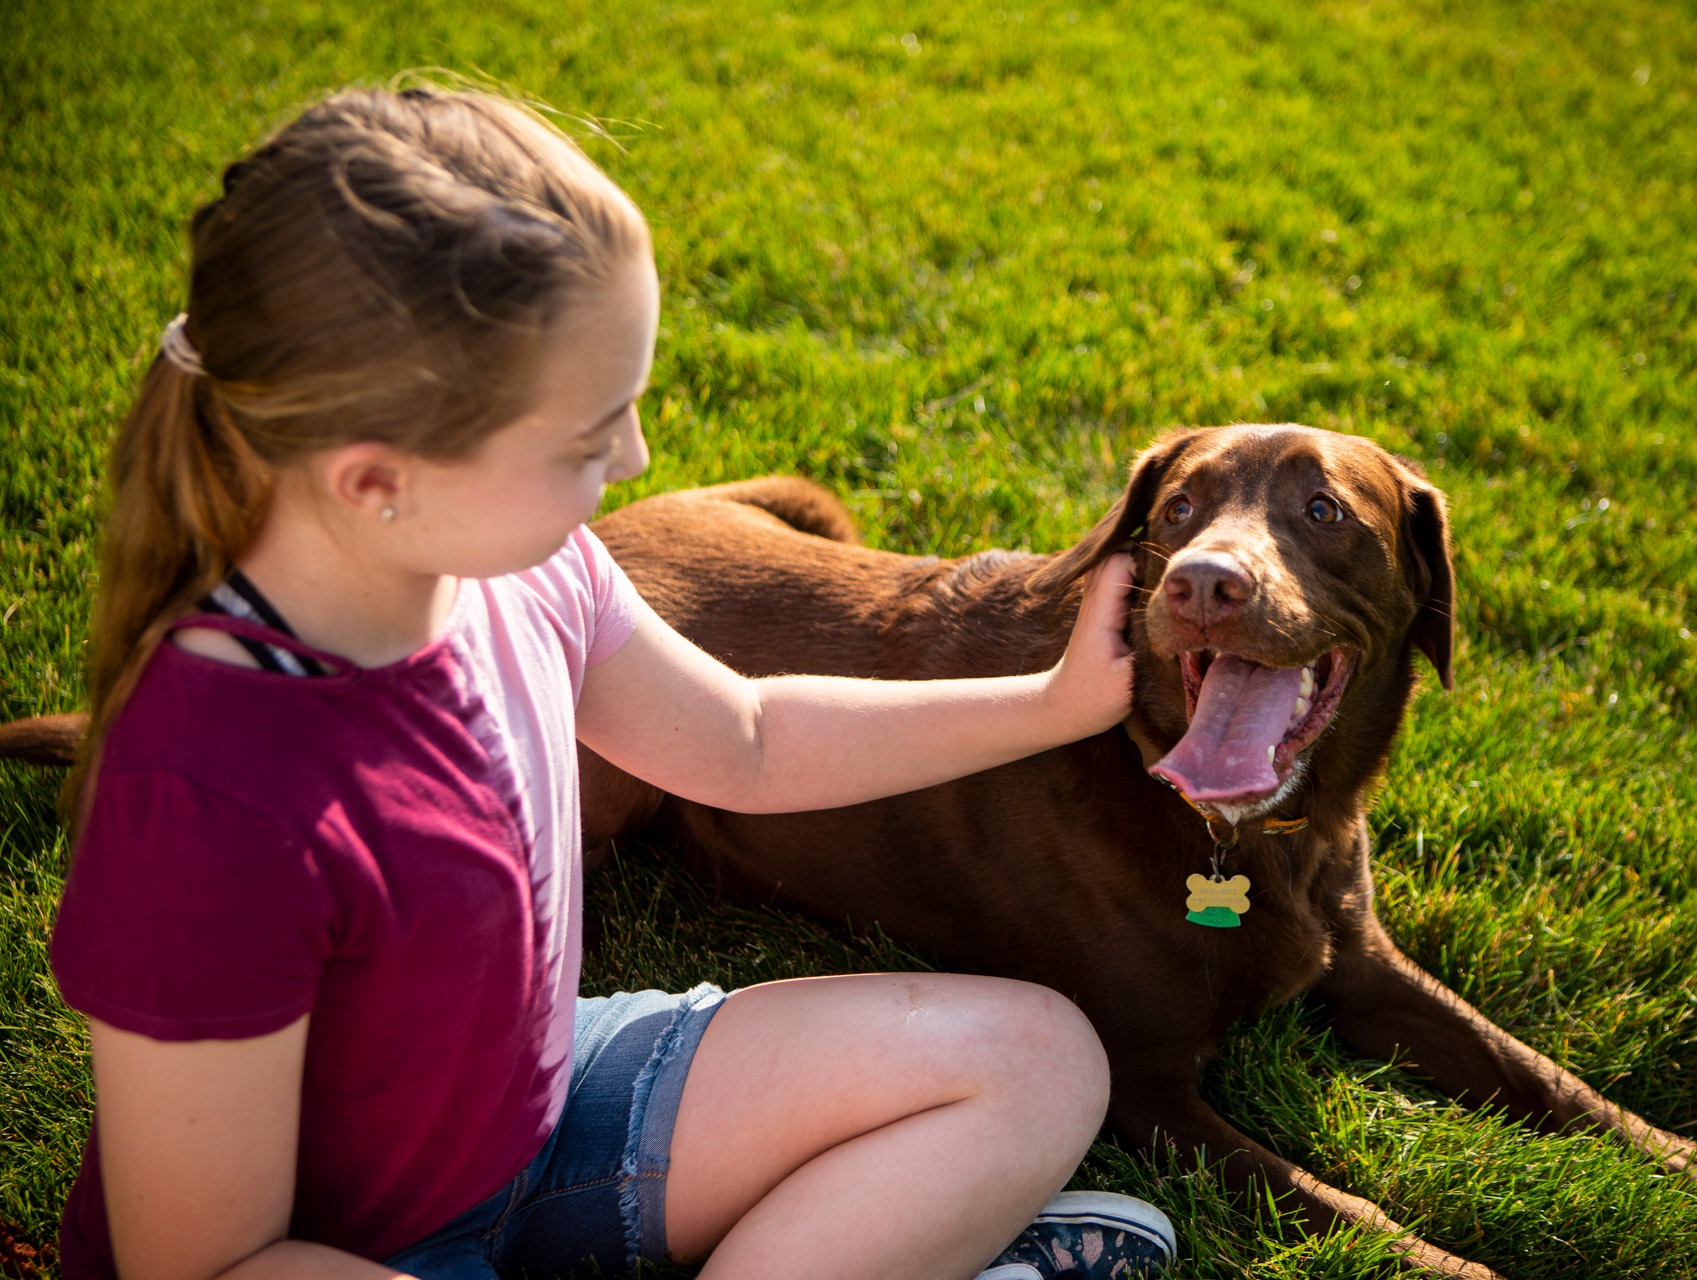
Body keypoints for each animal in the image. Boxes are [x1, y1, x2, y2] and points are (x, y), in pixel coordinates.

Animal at [576, 426, 1690, 1276]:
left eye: (1323, 511)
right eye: (1176, 511)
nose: (1203, 583)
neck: (1250, 837)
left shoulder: (1361, 962)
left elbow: (1545, 1079)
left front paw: (1671, 1158)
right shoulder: (1142, 1080)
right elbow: (1337, 1203)